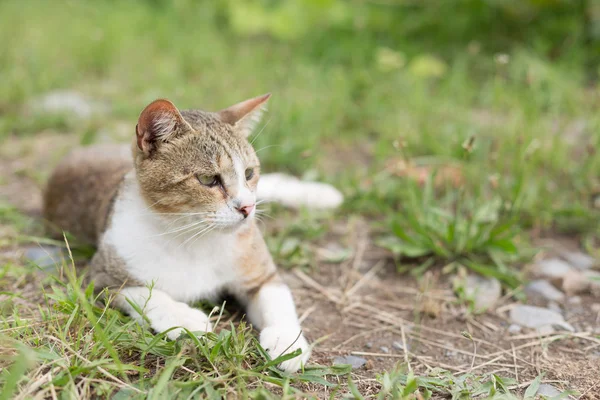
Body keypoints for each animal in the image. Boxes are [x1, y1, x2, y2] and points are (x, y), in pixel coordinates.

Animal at [42, 94, 342, 372]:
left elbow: (278, 300)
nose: (247, 207)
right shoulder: (102, 277)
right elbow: (145, 295)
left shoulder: (260, 272)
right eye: (208, 179)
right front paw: (184, 318)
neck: (194, 235)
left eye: (248, 173)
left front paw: (287, 341)